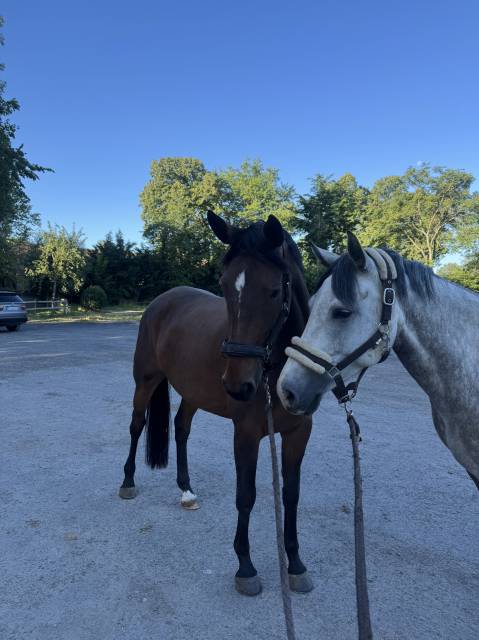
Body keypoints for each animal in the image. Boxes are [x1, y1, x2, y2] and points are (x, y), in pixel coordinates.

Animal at [119, 211, 314, 596]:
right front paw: (246, 567)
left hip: (193, 393)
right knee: (137, 425)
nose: (239, 385)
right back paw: (128, 482)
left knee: (180, 428)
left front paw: (296, 564)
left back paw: (186, 491)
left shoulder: (299, 431)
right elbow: (246, 495)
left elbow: (292, 494)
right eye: (222, 285)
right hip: (145, 381)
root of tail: (163, 300)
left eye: (274, 290)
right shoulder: (247, 433)